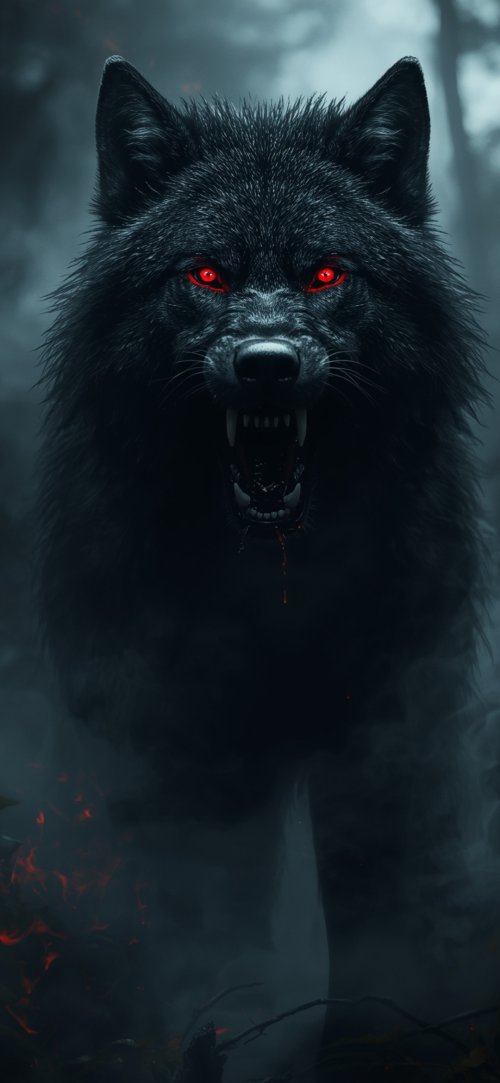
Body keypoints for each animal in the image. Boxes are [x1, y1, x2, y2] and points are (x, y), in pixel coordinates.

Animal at [36, 55, 490, 1077]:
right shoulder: (185, 754)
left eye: (326, 274)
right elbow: (211, 928)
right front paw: (214, 1036)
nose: (268, 364)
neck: (275, 590)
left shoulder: (389, 732)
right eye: (207, 274)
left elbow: (378, 916)